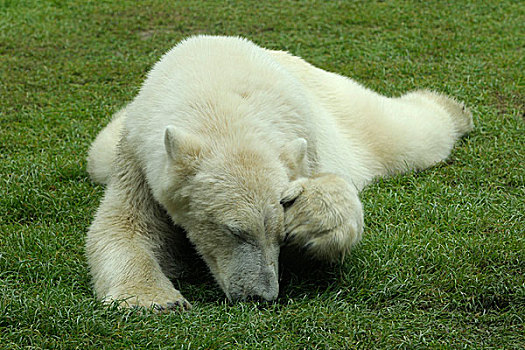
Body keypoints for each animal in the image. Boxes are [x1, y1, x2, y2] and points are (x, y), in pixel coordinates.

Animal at [85, 34, 470, 308]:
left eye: (280, 236)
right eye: (234, 230)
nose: (261, 295)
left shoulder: (307, 139)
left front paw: (312, 216)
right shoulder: (137, 157)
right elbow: (123, 225)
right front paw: (153, 300)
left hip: (345, 109)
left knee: (405, 133)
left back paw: (453, 110)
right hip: (105, 148)